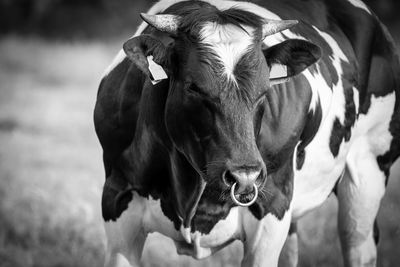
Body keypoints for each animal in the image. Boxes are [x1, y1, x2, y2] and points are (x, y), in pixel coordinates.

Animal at [94, 0, 400, 266]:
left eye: (264, 90)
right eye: (193, 87)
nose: (244, 176)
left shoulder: (272, 208)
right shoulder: (116, 200)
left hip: (369, 169)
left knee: (357, 242)